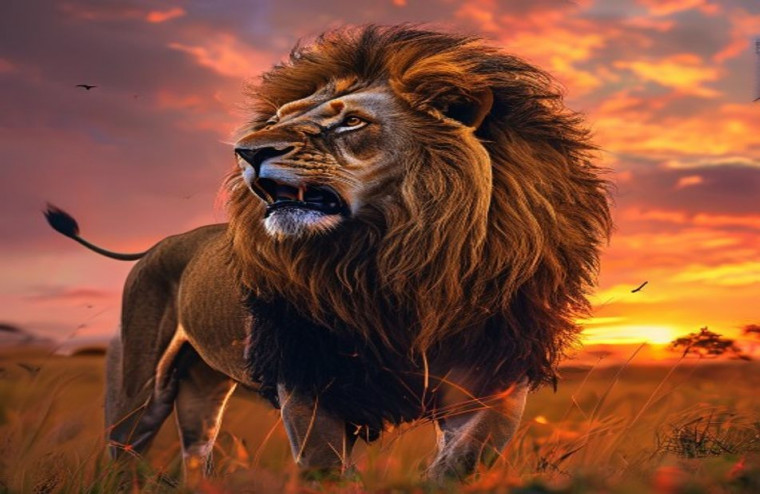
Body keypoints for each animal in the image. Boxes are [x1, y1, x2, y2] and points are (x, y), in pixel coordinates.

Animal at [45, 25, 611, 484]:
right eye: (277, 117)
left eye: (352, 123)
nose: (248, 151)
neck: (398, 265)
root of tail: (162, 243)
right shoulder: (309, 377)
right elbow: (326, 469)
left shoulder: (492, 380)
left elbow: (459, 464)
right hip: (140, 385)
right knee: (125, 450)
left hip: (202, 388)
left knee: (196, 452)